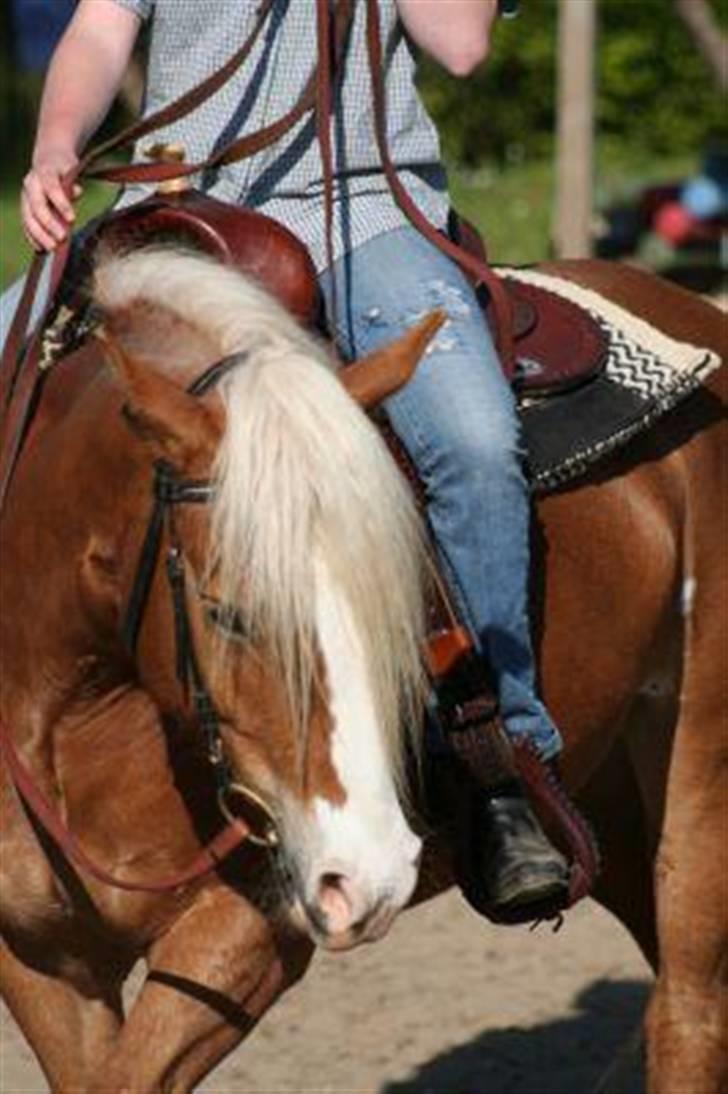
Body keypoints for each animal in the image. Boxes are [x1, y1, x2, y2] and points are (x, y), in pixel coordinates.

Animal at [0, 248, 722, 1094]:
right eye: (228, 613)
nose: (367, 873)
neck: (73, 709)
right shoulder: (46, 961)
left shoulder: (243, 935)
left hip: (697, 775)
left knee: (688, 1012)